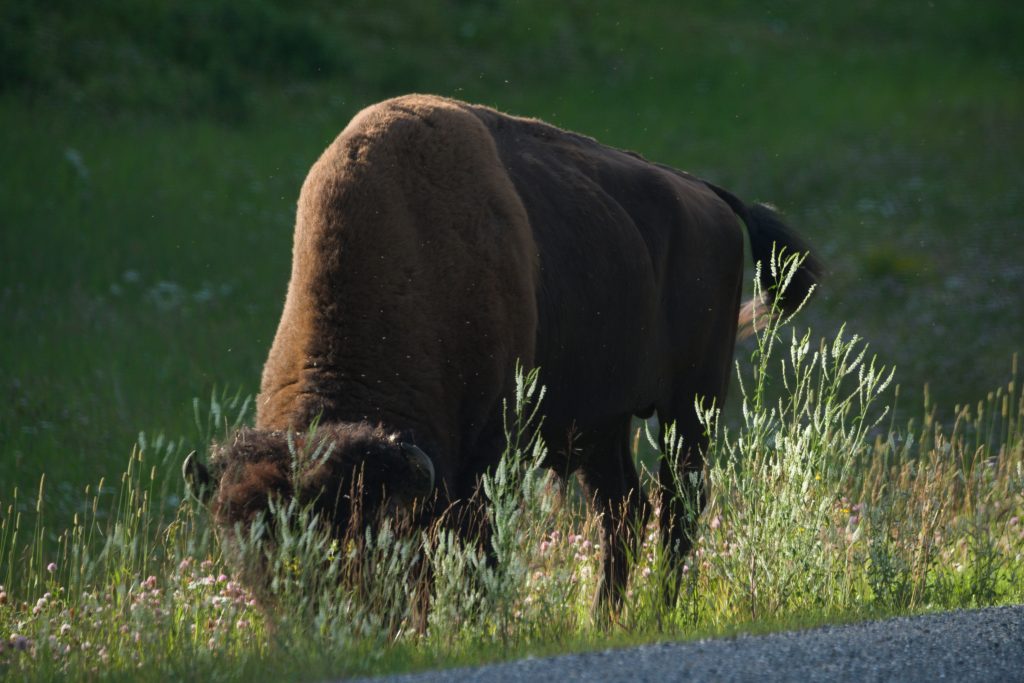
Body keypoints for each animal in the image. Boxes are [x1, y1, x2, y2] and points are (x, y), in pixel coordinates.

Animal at [184, 94, 822, 611]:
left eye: (356, 539)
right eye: (244, 553)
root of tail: (706, 195)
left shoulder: (487, 458)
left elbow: (471, 554)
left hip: (690, 406)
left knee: (678, 511)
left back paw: (657, 615)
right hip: (599, 427)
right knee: (624, 513)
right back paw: (604, 619)